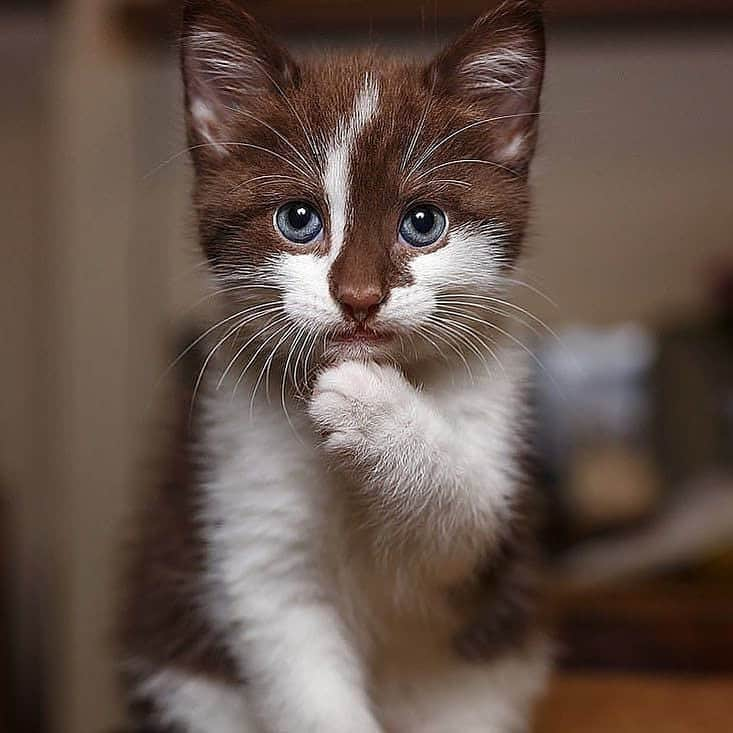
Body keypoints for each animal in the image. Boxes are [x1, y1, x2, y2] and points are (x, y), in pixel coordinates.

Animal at [121, 0, 548, 728]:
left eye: (422, 222)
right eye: (298, 218)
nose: (358, 296)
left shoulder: (497, 474)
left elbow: (466, 520)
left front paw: (373, 409)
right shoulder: (245, 502)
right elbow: (291, 652)